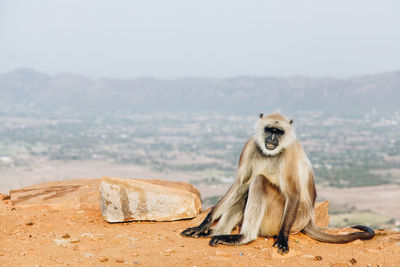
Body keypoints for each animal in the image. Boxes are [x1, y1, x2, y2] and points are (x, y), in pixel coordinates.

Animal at [181, 113, 376, 255]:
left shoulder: (289, 155)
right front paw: (203, 224)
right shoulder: (251, 144)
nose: (272, 138)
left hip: (284, 219)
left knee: (258, 181)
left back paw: (244, 237)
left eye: (279, 131)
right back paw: (215, 232)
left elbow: (293, 193)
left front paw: (282, 239)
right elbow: (240, 183)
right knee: (246, 188)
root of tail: (308, 219)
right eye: (269, 129)